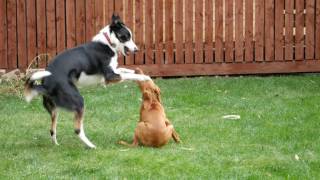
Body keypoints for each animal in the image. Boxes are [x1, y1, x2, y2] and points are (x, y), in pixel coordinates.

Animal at [24, 14, 150, 148]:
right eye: (126, 37)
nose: (136, 50)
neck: (108, 43)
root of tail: (46, 84)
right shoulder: (109, 77)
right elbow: (127, 75)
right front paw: (144, 77)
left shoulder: (113, 72)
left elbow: (125, 70)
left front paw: (137, 71)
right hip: (78, 102)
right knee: (77, 129)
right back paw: (91, 146)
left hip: (54, 110)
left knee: (52, 130)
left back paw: (56, 144)